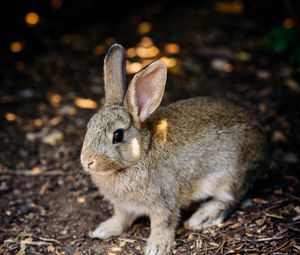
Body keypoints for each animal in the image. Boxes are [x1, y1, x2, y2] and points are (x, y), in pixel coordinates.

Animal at [81, 43, 266, 255]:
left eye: (117, 135)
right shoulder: (123, 207)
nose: (88, 161)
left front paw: (157, 247)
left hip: (230, 177)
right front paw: (103, 230)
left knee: (231, 199)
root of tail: (262, 140)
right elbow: (121, 219)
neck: (141, 154)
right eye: (89, 126)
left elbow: (163, 223)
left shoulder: (164, 201)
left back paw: (202, 218)